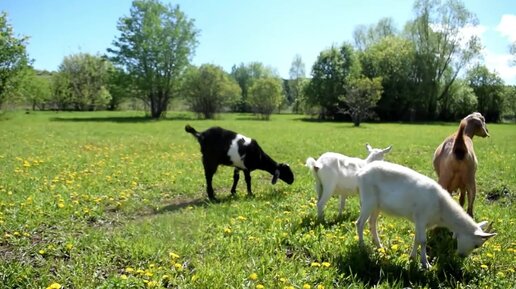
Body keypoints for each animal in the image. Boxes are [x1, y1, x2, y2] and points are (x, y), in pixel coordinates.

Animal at [354, 161, 496, 268]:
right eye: (477, 245)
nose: (462, 256)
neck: (441, 207)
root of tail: (360, 173)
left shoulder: (420, 222)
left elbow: (417, 239)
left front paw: (412, 258)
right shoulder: (421, 218)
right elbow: (423, 241)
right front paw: (425, 263)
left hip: (377, 205)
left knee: (372, 222)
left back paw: (379, 245)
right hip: (368, 200)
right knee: (360, 223)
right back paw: (362, 246)